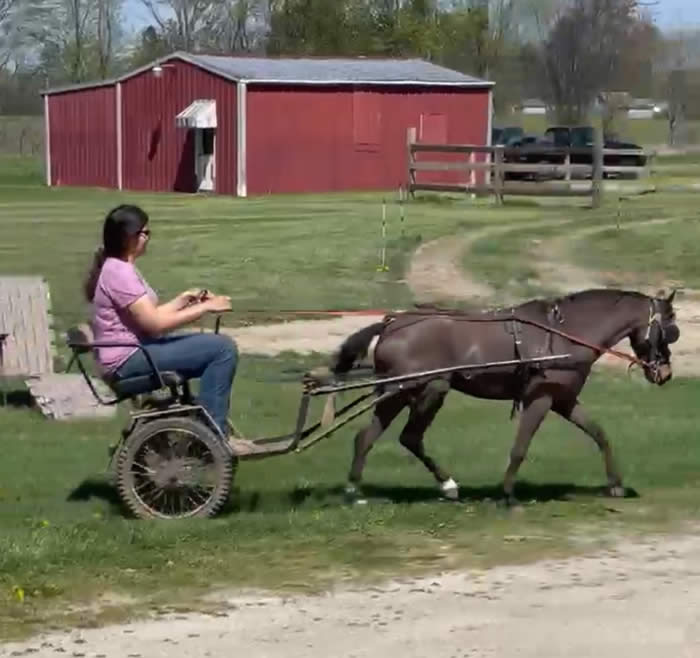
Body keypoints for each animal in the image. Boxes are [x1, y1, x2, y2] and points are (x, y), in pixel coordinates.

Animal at [326, 286, 680, 502]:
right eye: (669, 330)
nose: (664, 373)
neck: (564, 334)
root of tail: (391, 324)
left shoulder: (563, 399)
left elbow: (599, 435)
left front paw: (615, 484)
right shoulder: (540, 398)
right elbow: (520, 447)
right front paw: (508, 494)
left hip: (395, 393)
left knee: (367, 437)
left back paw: (354, 491)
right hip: (426, 389)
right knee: (409, 438)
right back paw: (447, 484)